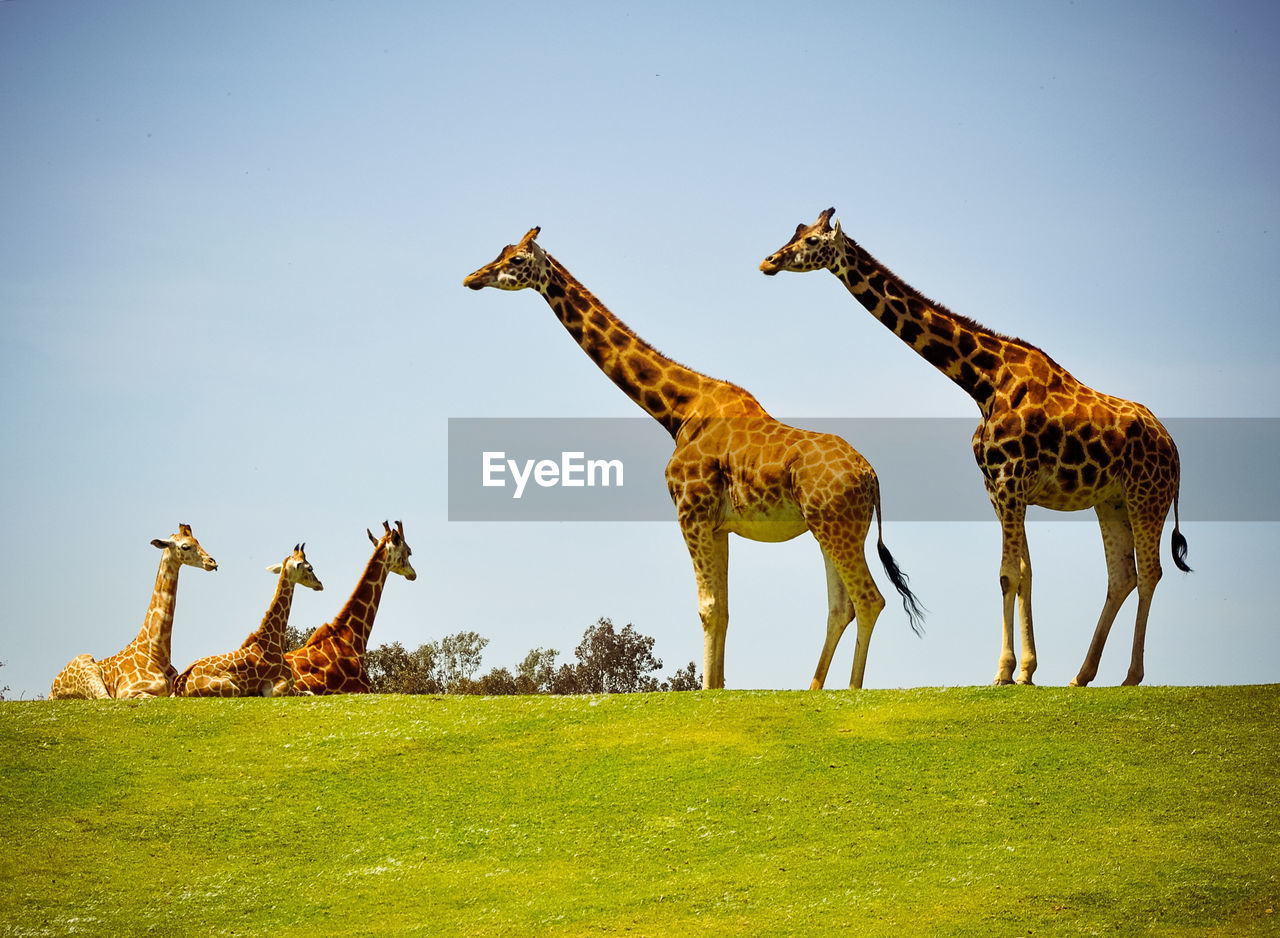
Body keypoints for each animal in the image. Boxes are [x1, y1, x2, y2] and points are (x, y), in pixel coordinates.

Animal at [50, 523, 219, 699]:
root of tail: (52, 690)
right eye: (185, 546)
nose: (212, 562)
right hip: (86, 664)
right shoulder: (127, 693)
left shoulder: (176, 690)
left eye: (198, 541)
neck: (157, 653)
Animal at [173, 544, 324, 697]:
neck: (272, 640)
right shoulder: (276, 689)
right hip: (233, 689)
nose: (320, 584)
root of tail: (182, 682)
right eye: (310, 568)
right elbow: (310, 693)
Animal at [463, 227, 924, 690]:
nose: (472, 277)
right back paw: (813, 690)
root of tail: (872, 476)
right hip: (830, 527)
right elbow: (724, 608)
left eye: (517, 259)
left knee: (869, 598)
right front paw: (718, 687)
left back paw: (851, 691)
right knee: (840, 606)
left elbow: (708, 607)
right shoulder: (719, 524)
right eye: (501, 251)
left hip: (836, 526)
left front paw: (705, 691)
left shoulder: (691, 511)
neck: (678, 410)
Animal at [760, 208, 1190, 687]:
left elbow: (1006, 575)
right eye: (795, 232)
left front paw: (1003, 671)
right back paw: (1082, 674)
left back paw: (1132, 674)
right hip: (1111, 500)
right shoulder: (999, 489)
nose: (768, 261)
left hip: (1146, 495)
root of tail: (1175, 450)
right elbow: (1023, 573)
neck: (982, 382)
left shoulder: (1010, 481)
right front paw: (1027, 671)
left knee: (1150, 572)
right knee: (1122, 576)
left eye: (813, 241)